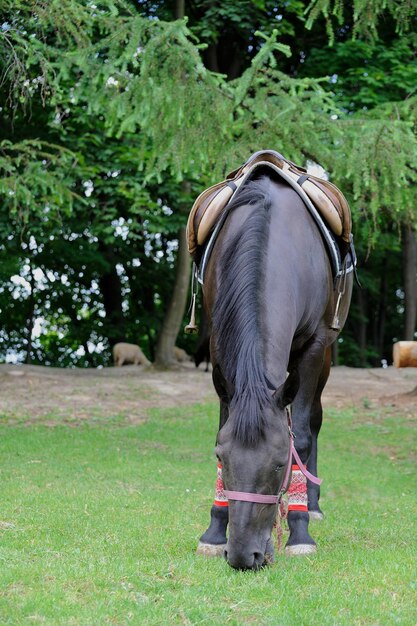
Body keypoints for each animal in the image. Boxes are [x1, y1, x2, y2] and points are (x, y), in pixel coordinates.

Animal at [197, 173, 350, 568]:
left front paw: (300, 532)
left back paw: (312, 506)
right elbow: (221, 425)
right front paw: (214, 530)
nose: (242, 554)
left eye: (281, 464)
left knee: (313, 421)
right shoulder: (220, 349)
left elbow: (304, 438)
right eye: (221, 457)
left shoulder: (313, 348)